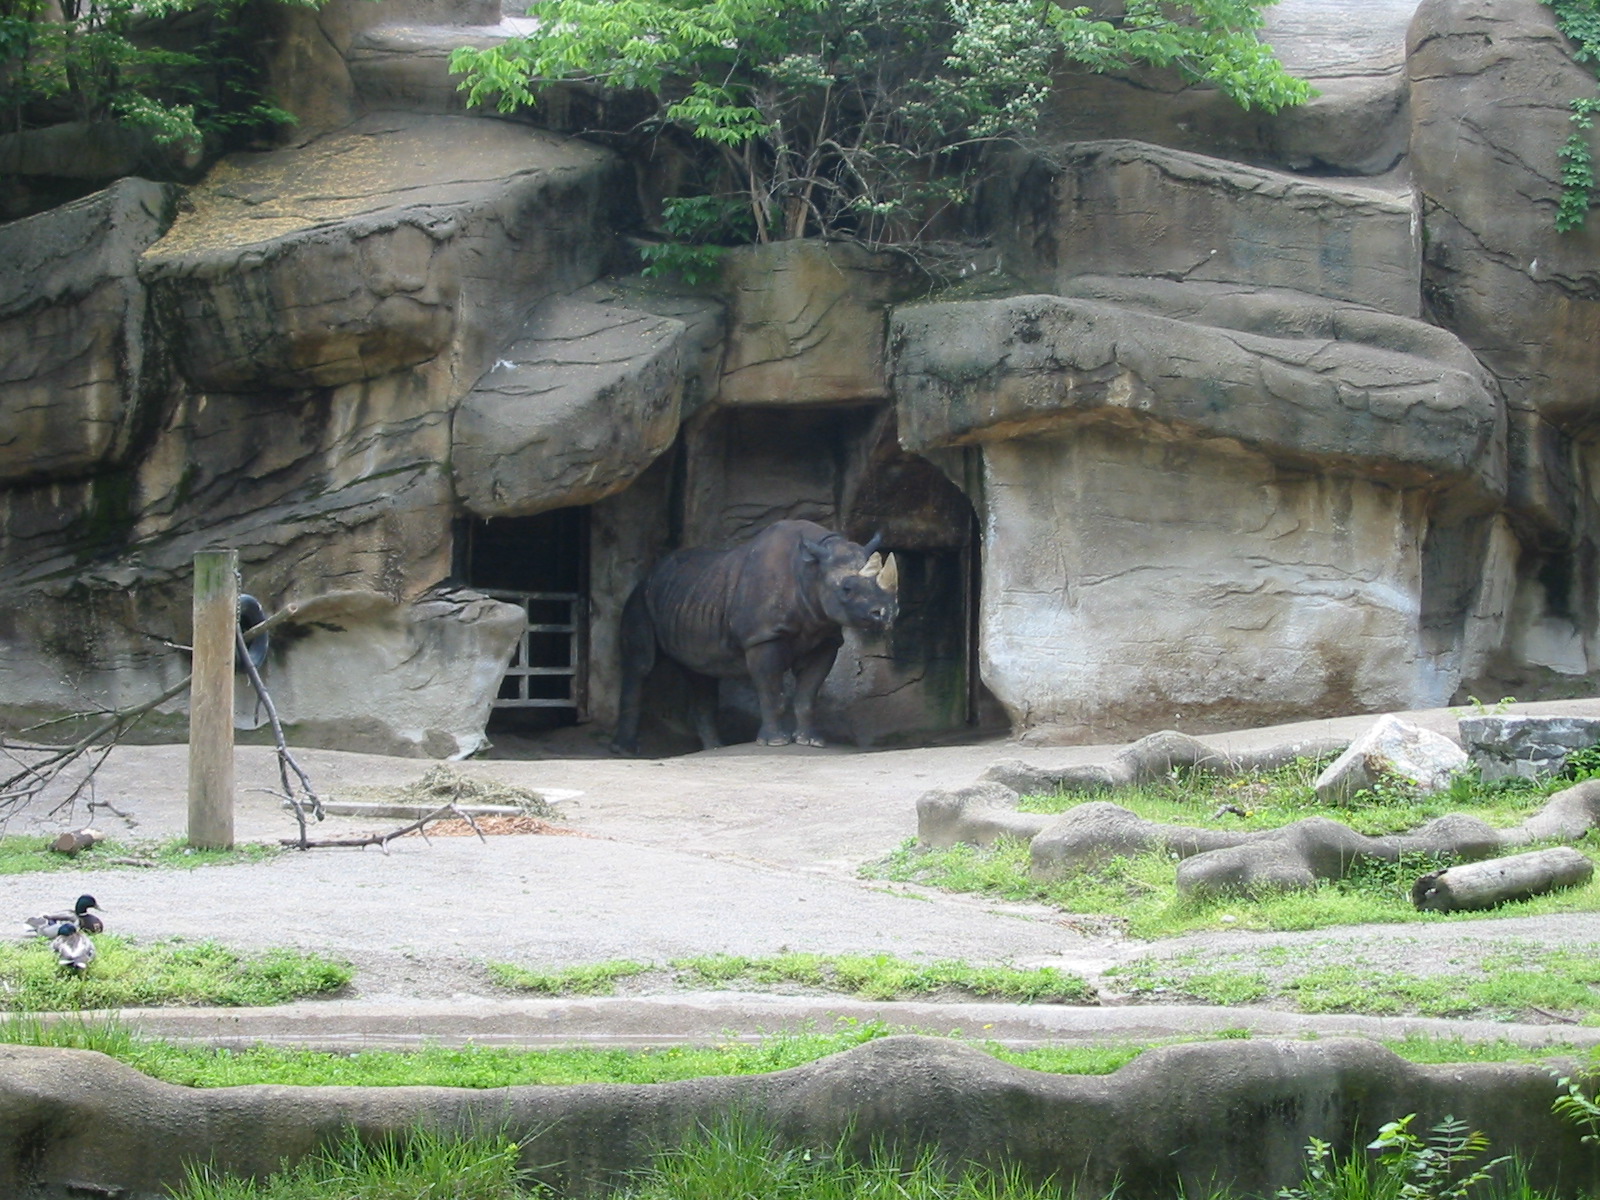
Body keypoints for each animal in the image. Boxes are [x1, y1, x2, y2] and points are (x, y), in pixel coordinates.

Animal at [612, 520, 899, 753]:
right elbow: (772, 691)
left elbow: (807, 694)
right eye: (846, 588)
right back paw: (626, 750)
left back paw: (715, 748)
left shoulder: (825, 638)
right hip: (640, 598)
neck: (812, 572)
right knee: (641, 665)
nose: (886, 612)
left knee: (701, 672)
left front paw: (811, 741)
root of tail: (650, 574)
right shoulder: (763, 637)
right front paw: (775, 742)